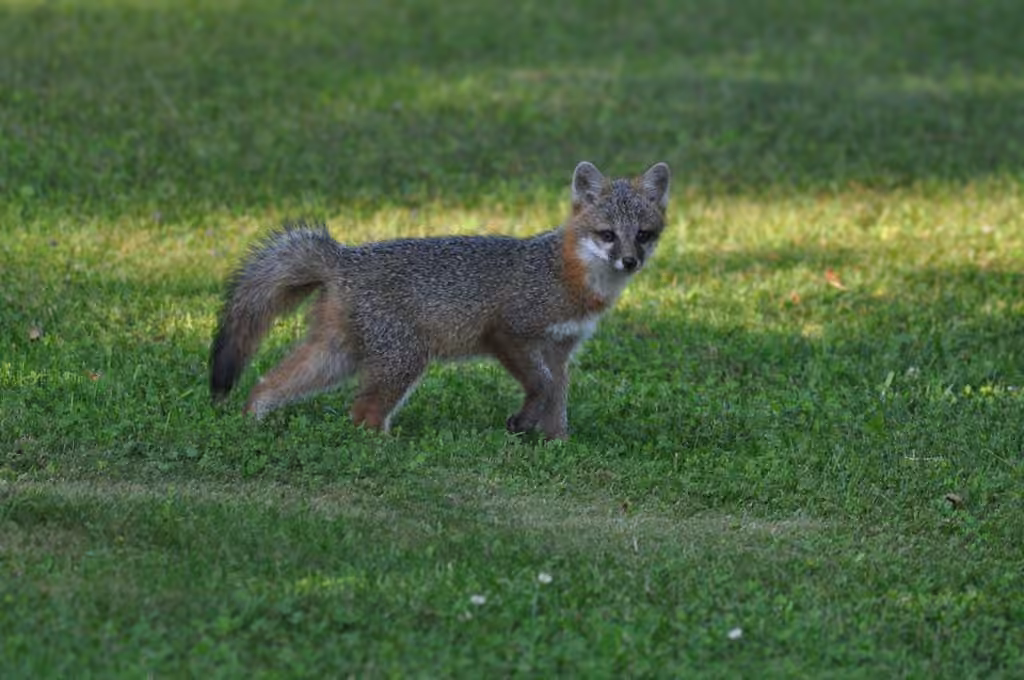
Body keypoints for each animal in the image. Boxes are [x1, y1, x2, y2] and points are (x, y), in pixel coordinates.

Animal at [210, 160, 671, 440]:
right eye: (607, 235)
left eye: (643, 234)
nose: (630, 261)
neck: (569, 276)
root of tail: (342, 256)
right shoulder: (509, 333)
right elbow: (540, 387)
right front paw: (523, 423)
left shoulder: (560, 350)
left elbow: (556, 397)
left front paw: (556, 442)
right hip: (405, 359)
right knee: (362, 414)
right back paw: (385, 446)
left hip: (336, 356)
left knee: (268, 383)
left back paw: (250, 419)